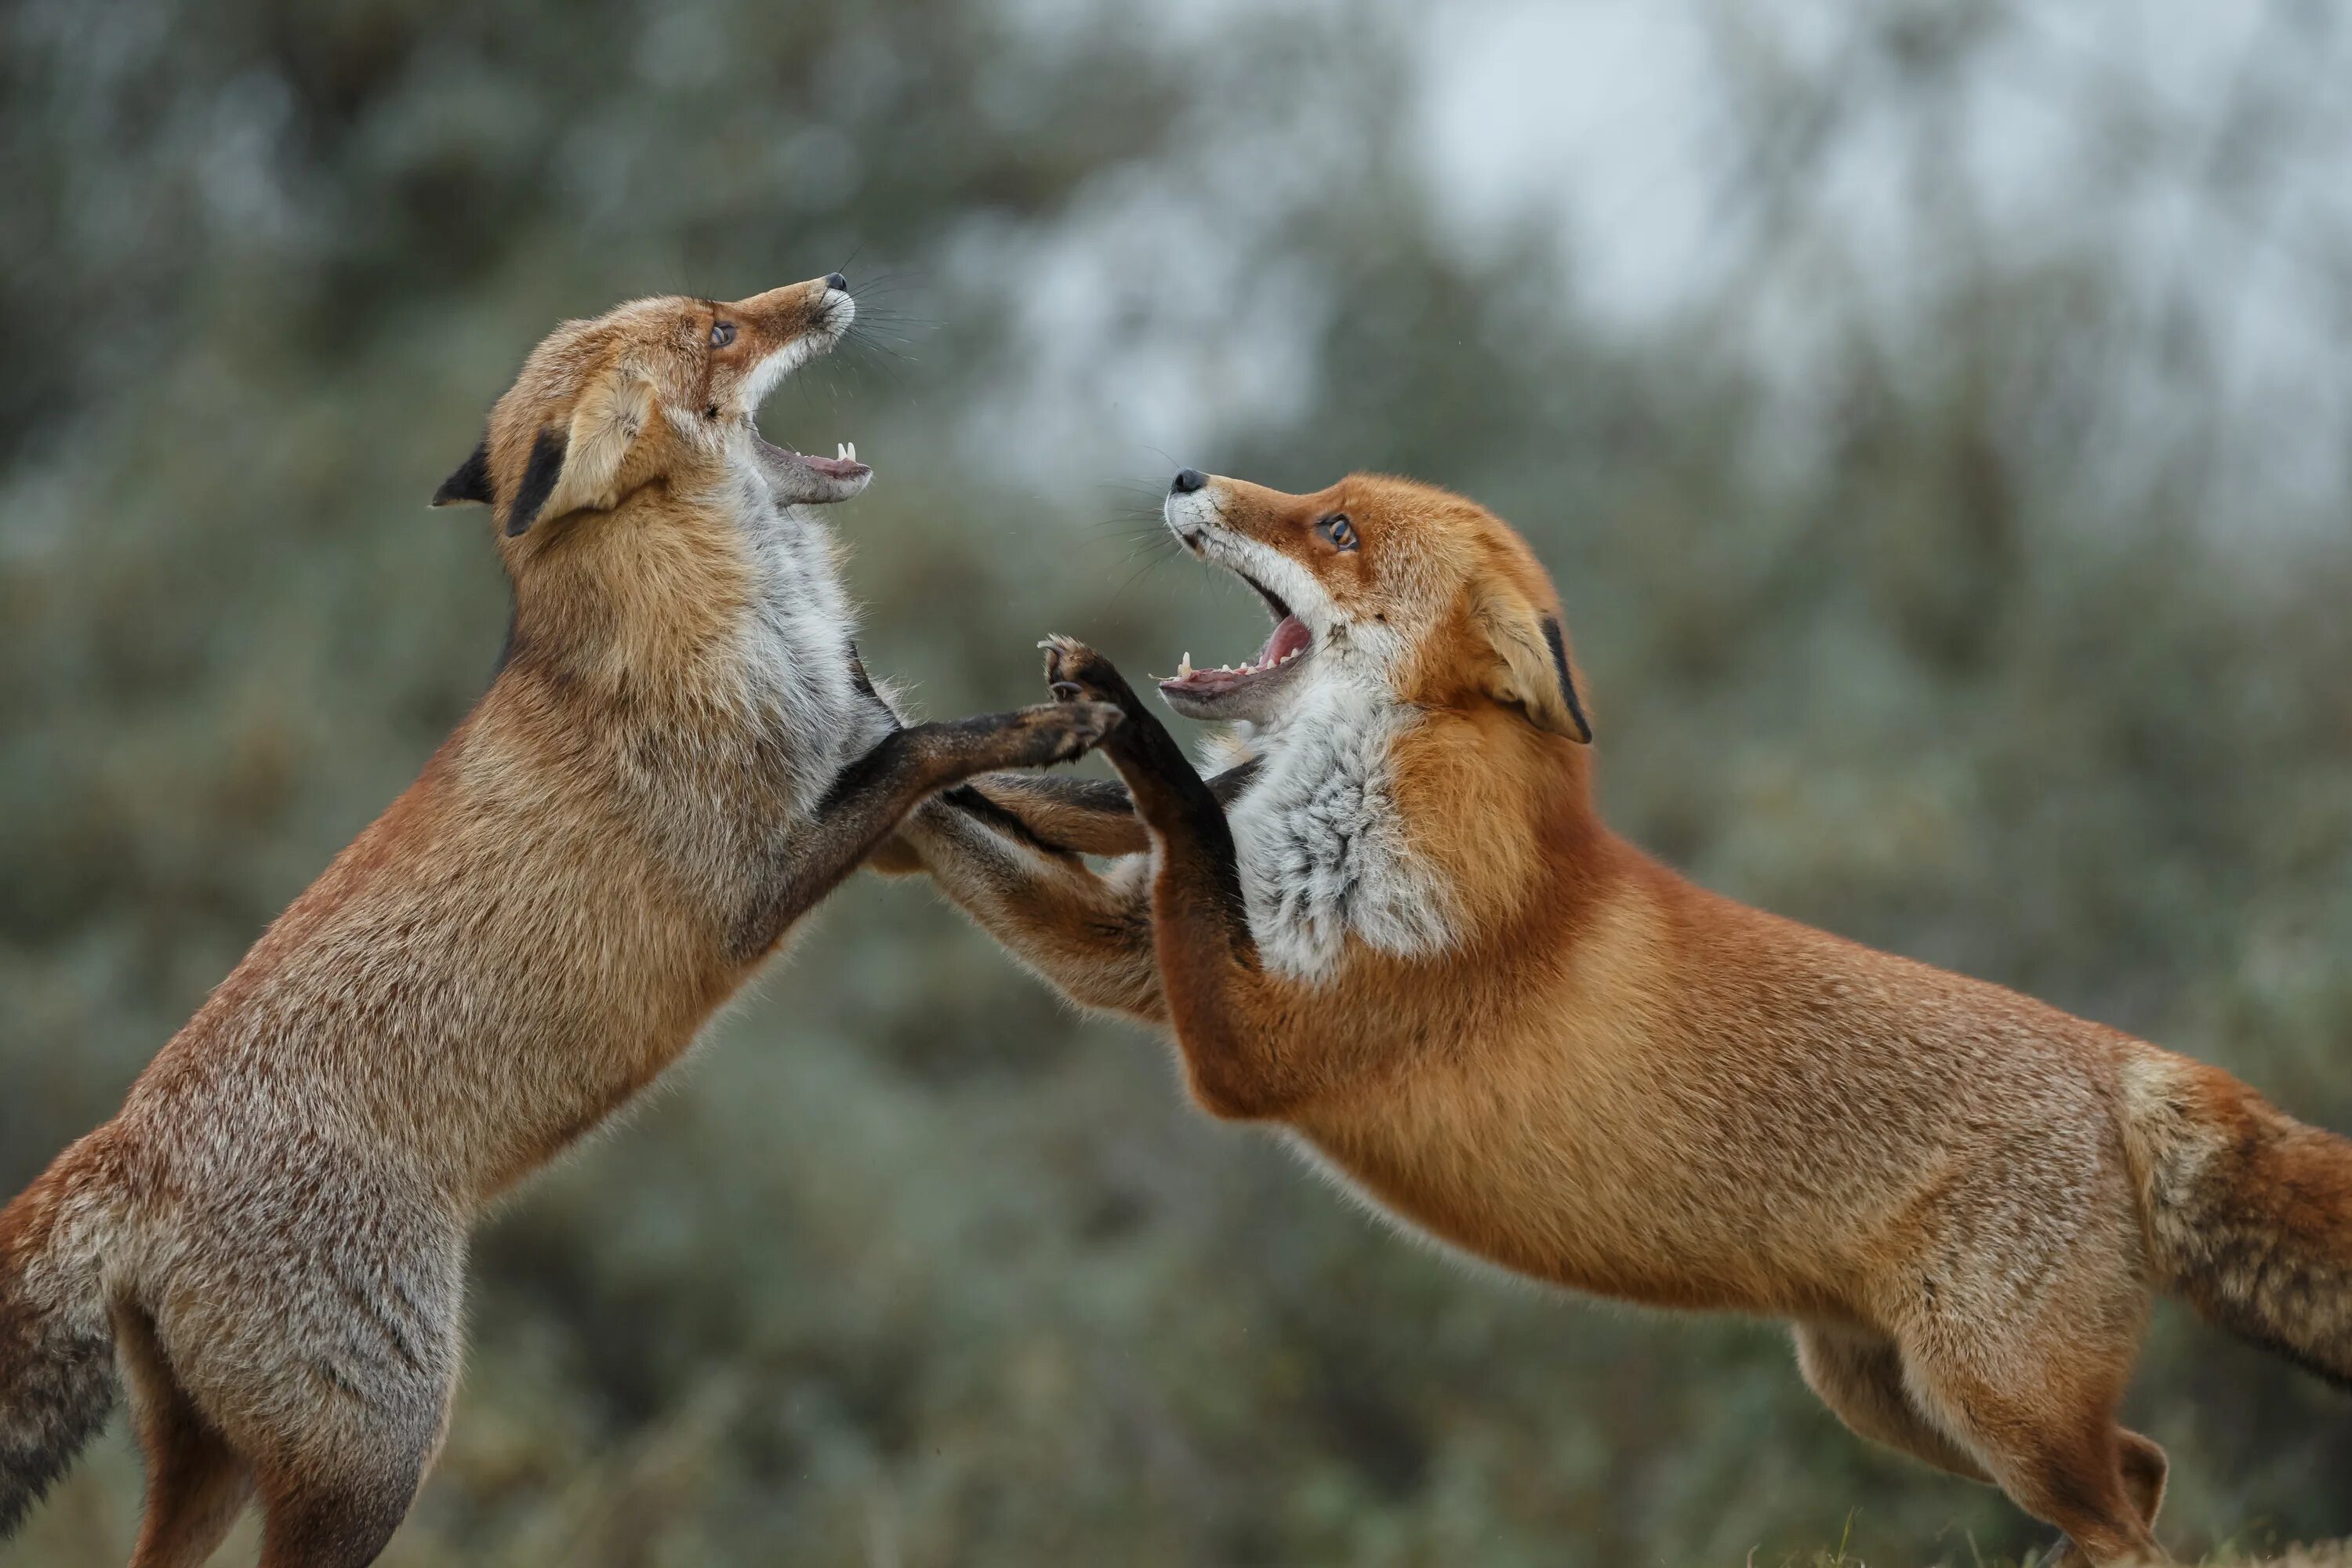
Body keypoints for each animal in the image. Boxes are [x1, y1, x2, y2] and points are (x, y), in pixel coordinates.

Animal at [0, 276, 1120, 1561]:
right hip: (376, 1455)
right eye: (720, 330)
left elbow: (1014, 798)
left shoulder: (874, 804)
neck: (725, 625)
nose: (835, 284)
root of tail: (122, 1146)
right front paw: (1061, 725)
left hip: (216, 1465)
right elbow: (937, 747)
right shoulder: (765, 875)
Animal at [898, 470, 2352, 1568]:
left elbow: (1183, 814)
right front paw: (890, 765)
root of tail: (2131, 1063)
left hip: (1990, 1403)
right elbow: (1004, 836)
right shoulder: (1138, 964)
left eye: (1337, 530)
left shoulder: (1250, 1051)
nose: (1189, 473)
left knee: (2131, 1524)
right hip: (1891, 1396)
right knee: (2145, 1473)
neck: (1366, 821)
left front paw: (1109, 714)